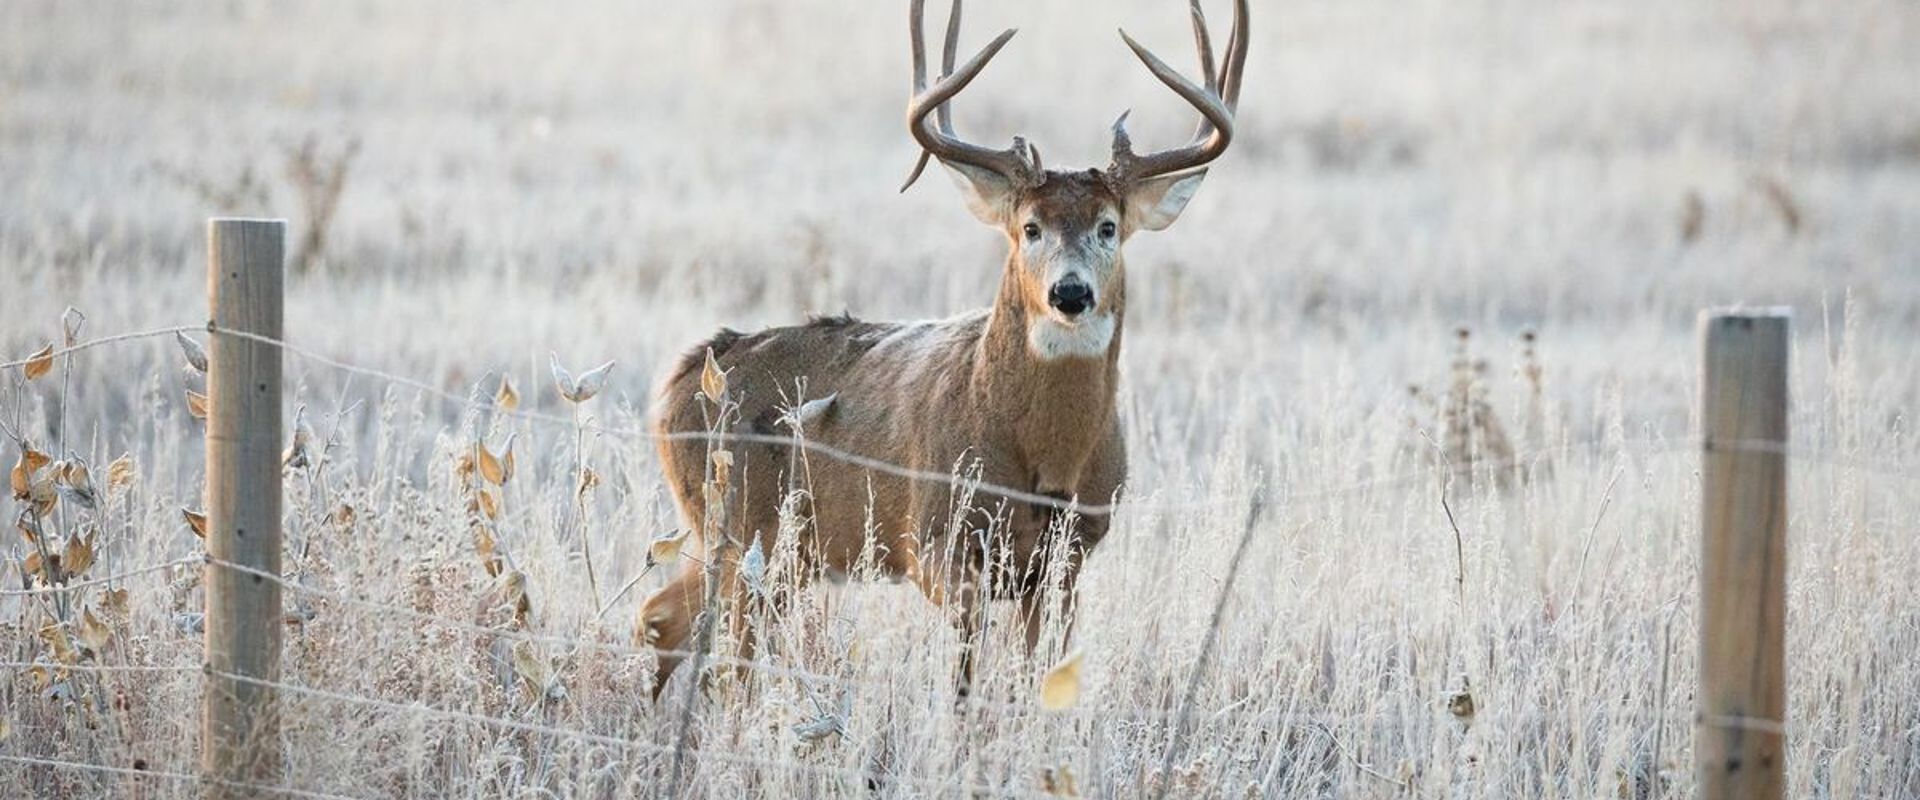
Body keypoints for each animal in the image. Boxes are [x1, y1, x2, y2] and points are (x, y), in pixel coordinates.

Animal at [639, 0, 1248, 699]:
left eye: (1108, 227)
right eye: (1029, 227)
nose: (1070, 292)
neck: (1044, 461)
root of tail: (677, 383)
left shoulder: (1070, 558)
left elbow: (1040, 677)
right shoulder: (934, 540)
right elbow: (964, 674)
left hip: (764, 545)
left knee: (661, 616)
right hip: (742, 529)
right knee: (724, 655)